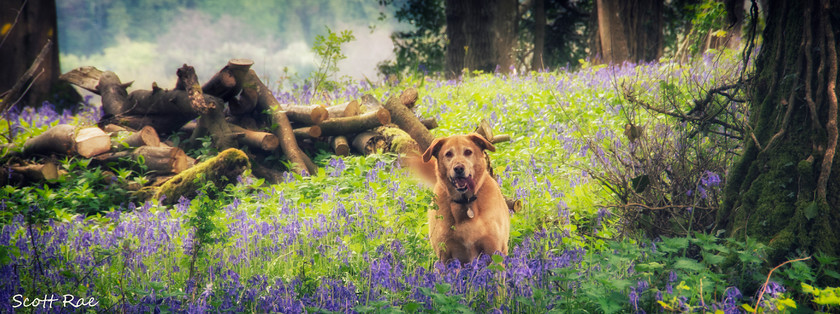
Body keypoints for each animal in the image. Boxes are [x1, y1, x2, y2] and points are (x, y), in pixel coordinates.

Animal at [420, 134, 512, 264]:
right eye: (448, 154)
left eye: (468, 152)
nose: (459, 168)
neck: (465, 202)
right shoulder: (445, 256)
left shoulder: (495, 250)